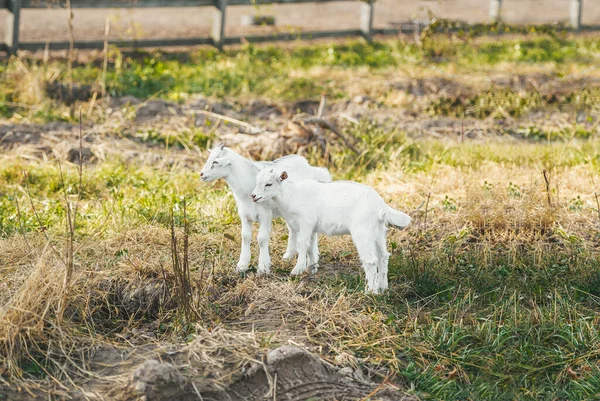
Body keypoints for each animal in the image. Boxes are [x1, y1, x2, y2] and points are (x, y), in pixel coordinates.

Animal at [202, 145, 332, 276]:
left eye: (215, 161)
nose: (201, 174)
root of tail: (312, 168)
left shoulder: (265, 215)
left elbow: (262, 238)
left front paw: (263, 268)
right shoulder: (244, 215)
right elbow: (245, 237)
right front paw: (242, 266)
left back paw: (314, 258)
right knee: (292, 229)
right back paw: (288, 255)